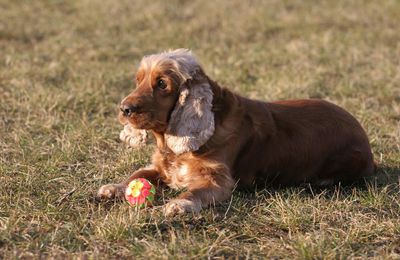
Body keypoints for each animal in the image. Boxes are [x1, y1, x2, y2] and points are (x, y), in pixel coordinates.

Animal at [97, 48, 376, 215]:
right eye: (138, 80)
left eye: (162, 84)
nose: (124, 109)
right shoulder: (159, 166)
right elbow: (138, 173)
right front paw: (114, 188)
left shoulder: (218, 180)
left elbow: (195, 191)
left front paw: (177, 204)